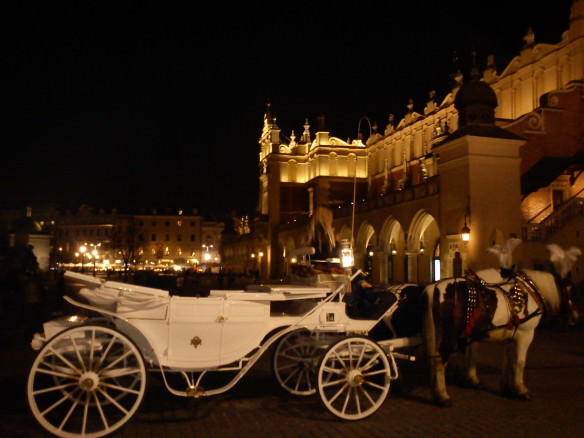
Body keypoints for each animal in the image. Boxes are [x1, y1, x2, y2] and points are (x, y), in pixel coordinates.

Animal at [424, 241, 580, 406]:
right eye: (572, 291)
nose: (575, 317)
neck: (529, 292)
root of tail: (434, 287)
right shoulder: (525, 334)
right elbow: (519, 362)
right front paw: (521, 390)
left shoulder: (510, 336)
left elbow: (508, 361)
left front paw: (507, 387)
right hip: (451, 335)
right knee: (440, 360)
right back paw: (443, 396)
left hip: (439, 332)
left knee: (434, 358)